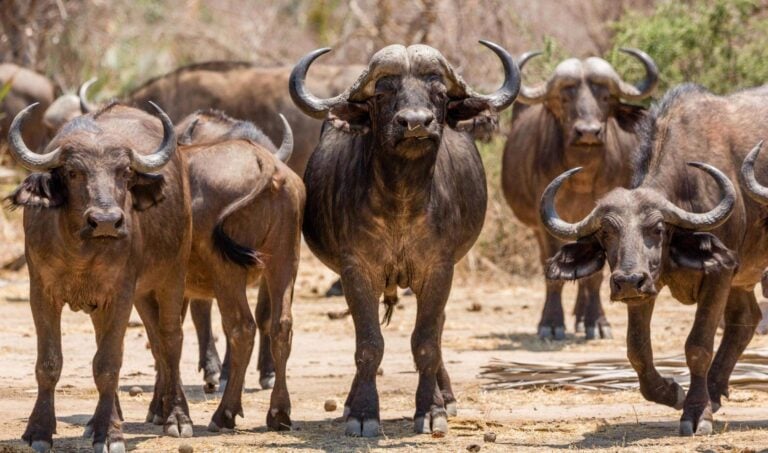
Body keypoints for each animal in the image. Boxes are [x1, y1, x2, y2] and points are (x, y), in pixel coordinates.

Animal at [7, 102, 194, 452]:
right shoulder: (41, 292)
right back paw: (100, 421)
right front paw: (39, 430)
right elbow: (49, 363)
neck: (80, 252)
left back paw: (177, 417)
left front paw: (110, 435)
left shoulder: (120, 294)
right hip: (137, 295)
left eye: (125, 172)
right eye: (73, 172)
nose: (106, 221)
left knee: (171, 339)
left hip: (172, 275)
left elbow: (108, 364)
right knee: (149, 339)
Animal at [172, 108, 304, 430]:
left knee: (242, 326)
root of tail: (266, 164)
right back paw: (279, 412)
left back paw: (225, 412)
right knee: (282, 324)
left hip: (227, 271)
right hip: (284, 262)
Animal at [292, 40, 520, 436]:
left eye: (439, 92)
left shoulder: (439, 269)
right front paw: (362, 413)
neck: (402, 202)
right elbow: (369, 344)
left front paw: (431, 410)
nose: (415, 123)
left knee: (438, 330)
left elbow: (426, 342)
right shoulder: (356, 271)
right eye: (383, 92)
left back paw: (447, 396)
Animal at [500, 49, 656, 340]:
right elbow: (553, 271)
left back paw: (583, 317)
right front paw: (551, 323)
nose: (588, 132)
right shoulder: (545, 224)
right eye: (564, 98)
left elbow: (594, 276)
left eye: (605, 97)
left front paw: (597, 322)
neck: (582, 178)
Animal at [540, 84, 768, 434]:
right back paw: (714, 391)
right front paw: (672, 393)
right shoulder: (645, 290)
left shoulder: (719, 273)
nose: (627, 280)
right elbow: (637, 350)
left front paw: (696, 413)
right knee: (746, 319)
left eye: (657, 228)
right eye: (606, 233)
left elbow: (698, 346)